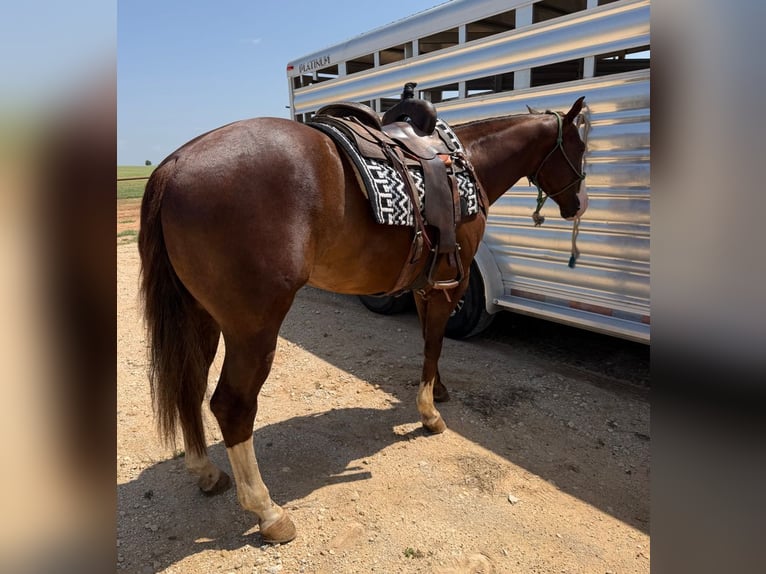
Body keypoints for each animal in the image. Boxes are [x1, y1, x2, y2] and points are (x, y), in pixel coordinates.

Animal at [138, 96, 588, 544]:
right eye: (580, 147)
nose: (579, 204)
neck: (466, 162)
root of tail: (174, 165)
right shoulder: (450, 283)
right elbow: (434, 342)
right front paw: (429, 413)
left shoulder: (424, 284)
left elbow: (430, 341)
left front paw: (438, 390)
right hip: (253, 328)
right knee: (232, 406)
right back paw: (268, 512)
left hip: (200, 317)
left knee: (190, 386)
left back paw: (207, 472)